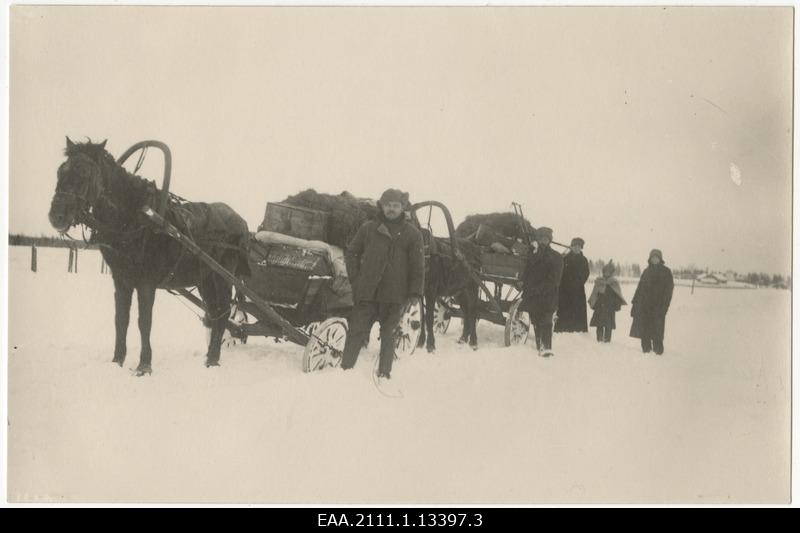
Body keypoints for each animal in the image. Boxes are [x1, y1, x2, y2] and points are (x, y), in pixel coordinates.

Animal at [48, 139, 248, 376]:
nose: (57, 216)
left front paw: (144, 365)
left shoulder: (146, 282)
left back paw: (214, 359)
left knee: (224, 312)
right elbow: (121, 319)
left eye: (85, 173)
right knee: (215, 314)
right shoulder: (121, 279)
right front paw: (117, 361)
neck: (136, 218)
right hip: (206, 279)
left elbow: (144, 321)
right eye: (60, 171)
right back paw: (209, 354)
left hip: (223, 277)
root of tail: (241, 222)